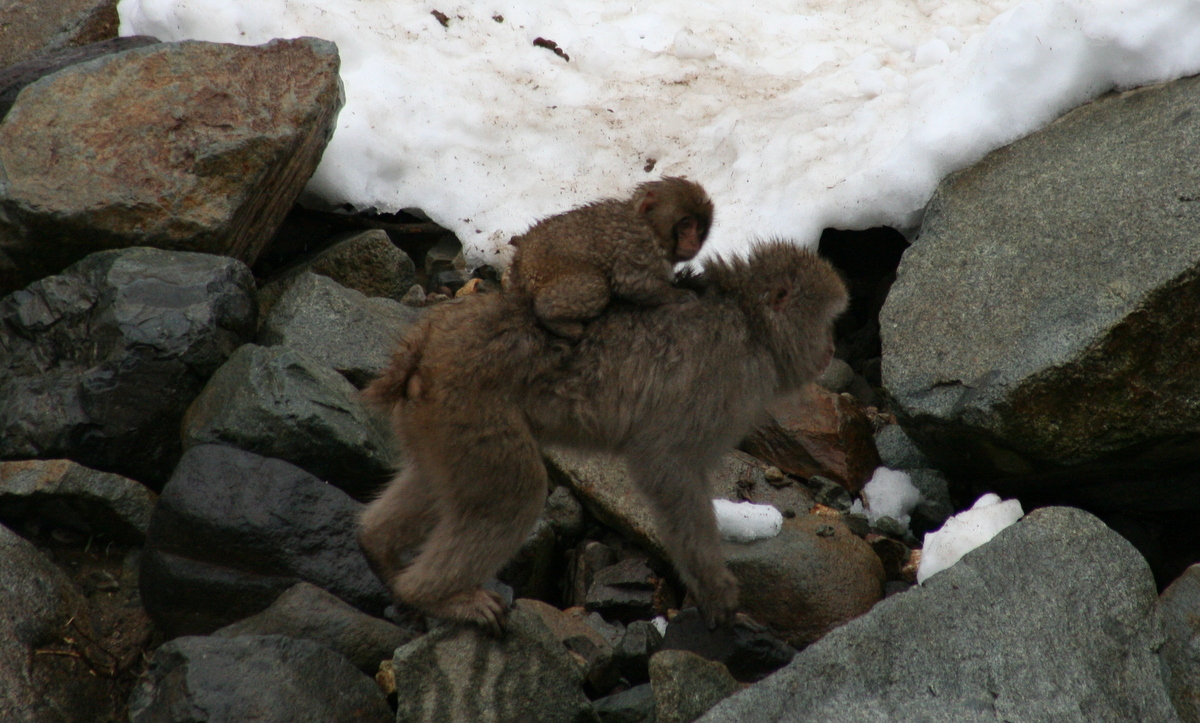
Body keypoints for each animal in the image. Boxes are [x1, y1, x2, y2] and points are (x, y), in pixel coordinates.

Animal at [360, 240, 849, 629]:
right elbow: (664, 465)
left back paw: (377, 548)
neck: (751, 325)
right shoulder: (718, 381)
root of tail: (429, 338)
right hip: (472, 408)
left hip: (438, 418)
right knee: (514, 495)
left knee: (438, 480)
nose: (830, 349)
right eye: (827, 321)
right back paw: (434, 596)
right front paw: (716, 590)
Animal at [504, 177, 710, 341]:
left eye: (699, 227)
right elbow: (632, 283)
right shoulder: (640, 245)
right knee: (597, 285)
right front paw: (681, 295)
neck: (652, 228)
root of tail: (521, 262)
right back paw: (553, 319)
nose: (693, 241)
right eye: (686, 224)